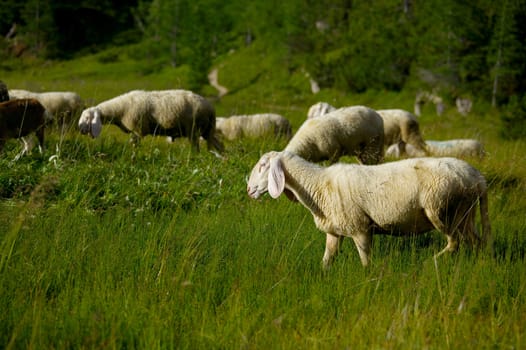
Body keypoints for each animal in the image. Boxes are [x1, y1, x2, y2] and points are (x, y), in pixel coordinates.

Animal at [78, 89, 225, 152]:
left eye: (86, 118)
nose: (80, 129)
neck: (119, 109)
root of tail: (211, 108)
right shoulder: (135, 131)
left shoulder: (138, 130)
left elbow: (134, 146)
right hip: (207, 130)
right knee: (219, 146)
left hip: (194, 129)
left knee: (196, 149)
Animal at [250, 150, 492, 268]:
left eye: (263, 166)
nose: (249, 189)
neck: (317, 185)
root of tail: (478, 178)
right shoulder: (334, 232)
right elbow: (327, 260)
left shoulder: (360, 229)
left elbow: (366, 262)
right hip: (465, 213)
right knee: (475, 242)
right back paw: (479, 265)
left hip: (443, 209)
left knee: (454, 242)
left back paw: (429, 263)